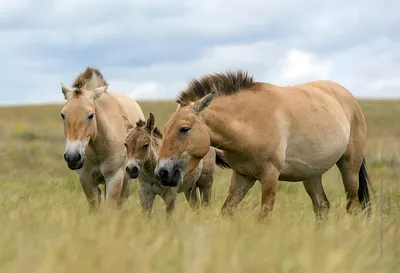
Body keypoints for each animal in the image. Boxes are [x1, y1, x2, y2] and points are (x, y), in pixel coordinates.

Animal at [60, 66, 145, 210]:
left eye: (91, 115)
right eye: (63, 115)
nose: (73, 157)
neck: (98, 149)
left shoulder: (114, 178)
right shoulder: (87, 180)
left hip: (127, 182)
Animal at [155, 70, 374, 221]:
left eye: (184, 129)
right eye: (165, 129)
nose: (162, 172)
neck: (249, 123)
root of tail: (348, 97)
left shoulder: (270, 176)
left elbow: (264, 218)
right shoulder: (242, 176)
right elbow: (227, 211)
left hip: (349, 167)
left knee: (352, 205)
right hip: (311, 175)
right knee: (322, 207)